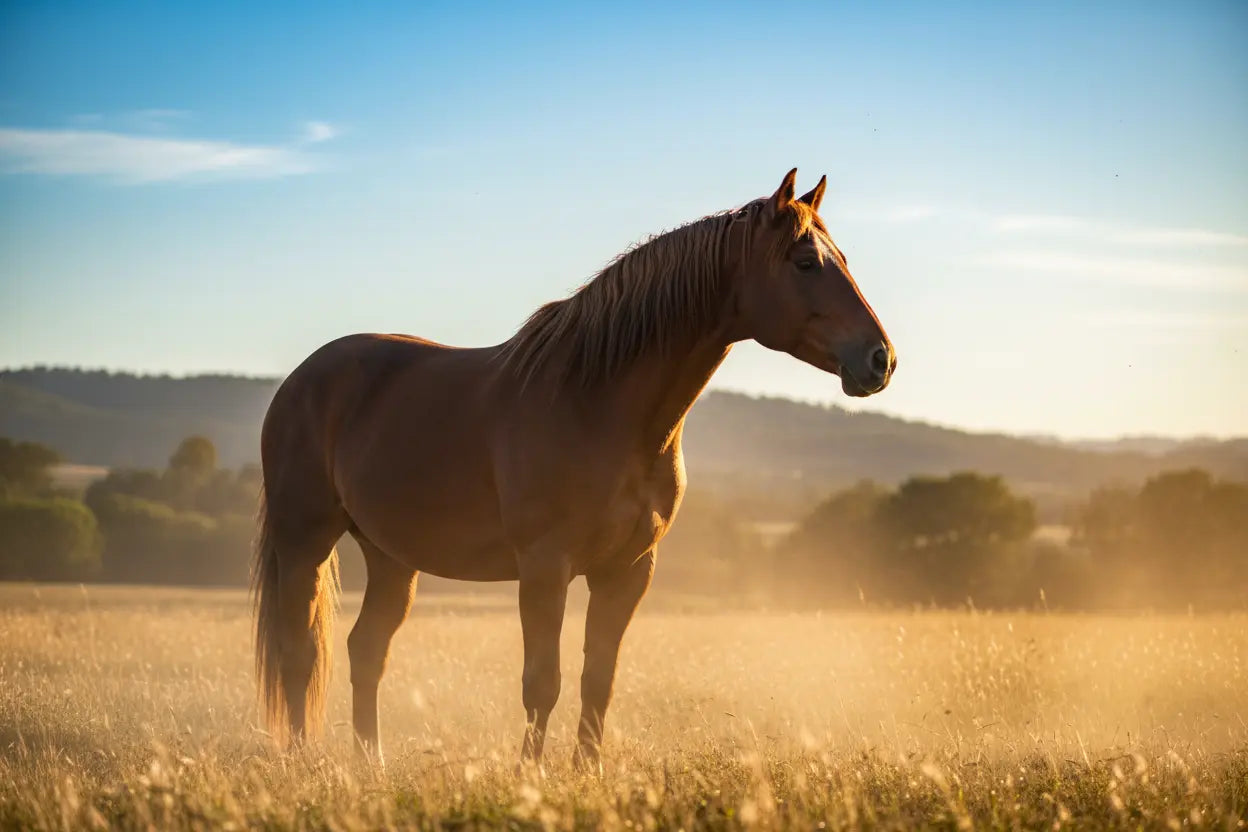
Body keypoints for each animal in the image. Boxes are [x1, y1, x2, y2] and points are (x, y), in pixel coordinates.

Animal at [252, 169, 895, 771]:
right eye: (806, 262)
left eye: (841, 259)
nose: (881, 359)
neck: (598, 404)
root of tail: (301, 380)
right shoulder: (545, 567)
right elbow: (543, 682)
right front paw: (529, 776)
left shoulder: (628, 570)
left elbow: (598, 681)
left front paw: (587, 773)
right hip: (305, 542)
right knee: (298, 652)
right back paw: (302, 763)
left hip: (391, 558)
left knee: (365, 651)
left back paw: (372, 766)